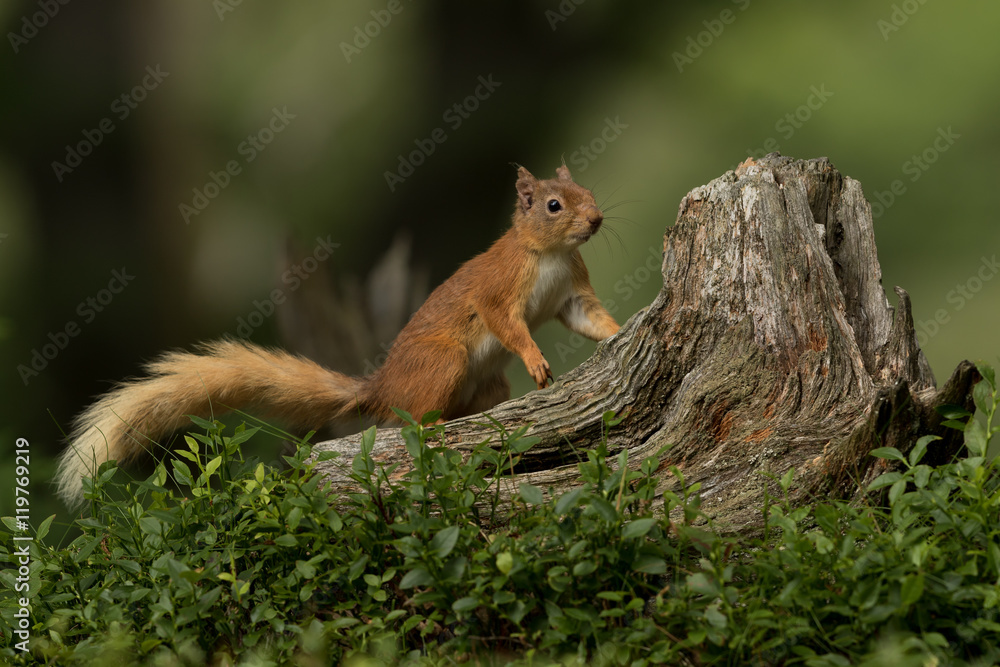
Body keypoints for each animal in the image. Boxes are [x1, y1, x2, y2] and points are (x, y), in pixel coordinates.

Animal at [56, 165, 620, 504]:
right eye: (553, 205)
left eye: (591, 194)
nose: (596, 219)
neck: (549, 255)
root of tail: (380, 388)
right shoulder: (498, 291)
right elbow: (507, 324)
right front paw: (535, 359)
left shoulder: (572, 294)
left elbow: (590, 320)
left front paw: (619, 333)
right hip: (445, 361)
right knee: (411, 420)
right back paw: (433, 426)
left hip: (486, 385)